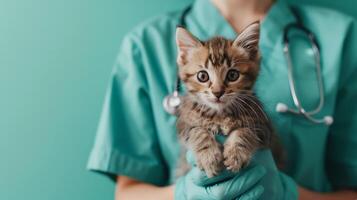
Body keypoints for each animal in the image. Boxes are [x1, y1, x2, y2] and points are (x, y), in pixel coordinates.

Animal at [175, 22, 278, 178]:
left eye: (233, 75)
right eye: (202, 76)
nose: (217, 92)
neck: (220, 115)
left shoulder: (264, 128)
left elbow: (246, 131)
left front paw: (236, 154)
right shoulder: (183, 125)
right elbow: (197, 130)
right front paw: (208, 156)